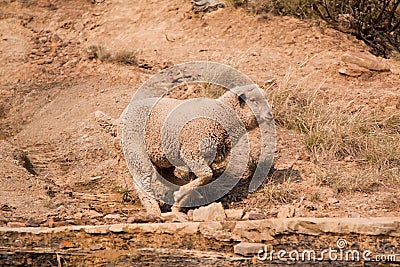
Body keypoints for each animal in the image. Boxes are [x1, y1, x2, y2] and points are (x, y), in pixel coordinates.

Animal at [95, 84, 274, 220]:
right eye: (253, 100)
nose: (270, 115)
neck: (220, 116)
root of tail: (118, 121)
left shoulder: (201, 156)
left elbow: (201, 178)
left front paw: (185, 200)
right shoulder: (192, 151)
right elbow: (206, 175)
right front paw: (180, 199)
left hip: (161, 154)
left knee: (165, 175)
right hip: (135, 150)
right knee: (143, 181)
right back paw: (154, 211)